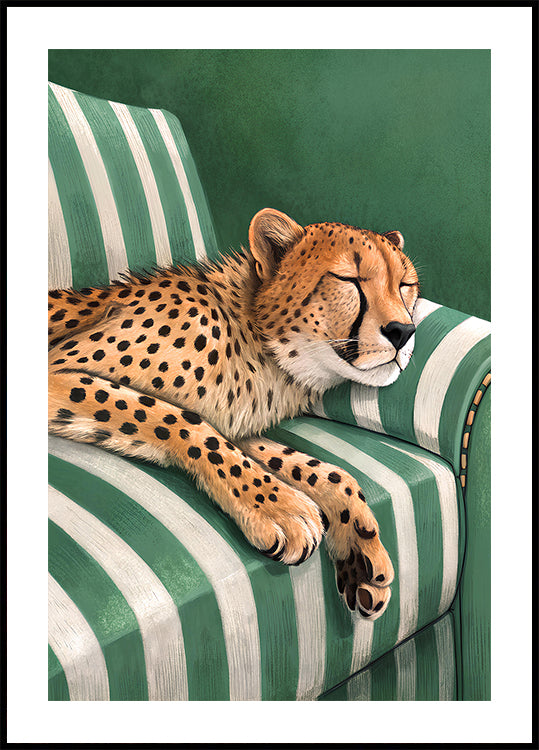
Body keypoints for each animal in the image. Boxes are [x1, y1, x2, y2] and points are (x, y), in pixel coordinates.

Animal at [48, 208, 420, 619]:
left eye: (406, 285)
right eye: (348, 279)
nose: (403, 331)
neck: (256, 337)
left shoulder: (238, 426)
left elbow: (322, 470)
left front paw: (361, 549)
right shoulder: (56, 371)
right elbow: (181, 420)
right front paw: (279, 509)